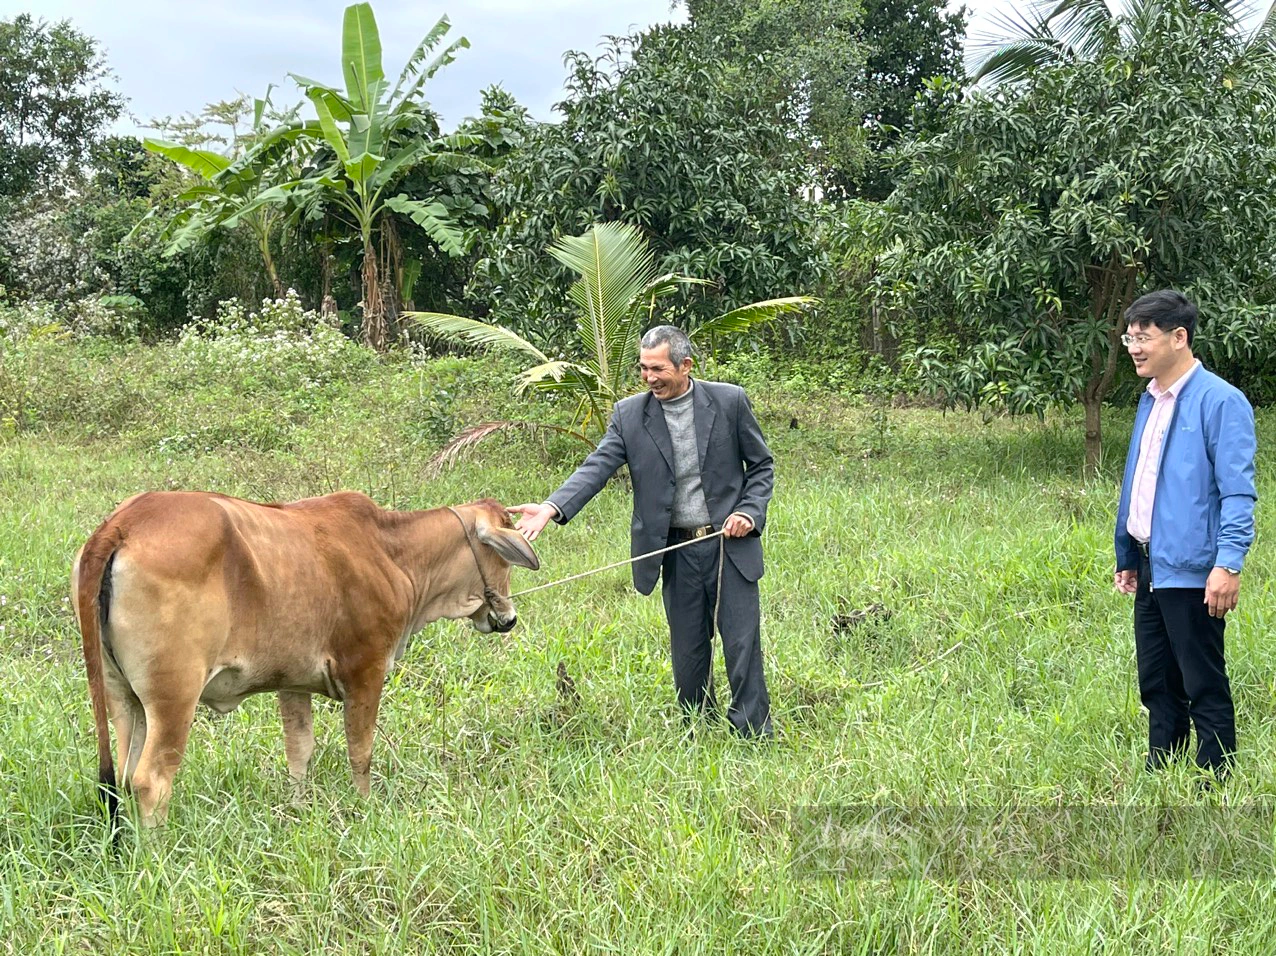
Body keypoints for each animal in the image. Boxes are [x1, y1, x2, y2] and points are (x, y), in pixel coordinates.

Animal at [71, 487, 538, 821]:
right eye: (504, 558)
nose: (508, 618)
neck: (393, 553)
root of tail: (123, 522)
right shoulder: (366, 671)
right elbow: (360, 751)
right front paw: (365, 808)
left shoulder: (292, 683)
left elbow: (299, 753)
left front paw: (298, 810)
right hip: (174, 697)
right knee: (151, 780)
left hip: (122, 695)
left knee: (123, 776)